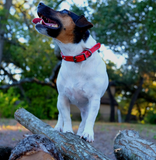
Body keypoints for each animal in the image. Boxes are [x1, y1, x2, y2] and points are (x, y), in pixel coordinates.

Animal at [32, 2, 108, 142]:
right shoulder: (63, 97)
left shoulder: (94, 100)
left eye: (65, 11)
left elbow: (90, 120)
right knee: (61, 115)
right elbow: (66, 117)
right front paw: (67, 131)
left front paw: (87, 133)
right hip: (59, 101)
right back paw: (58, 127)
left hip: (85, 108)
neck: (75, 57)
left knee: (84, 120)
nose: (40, 3)